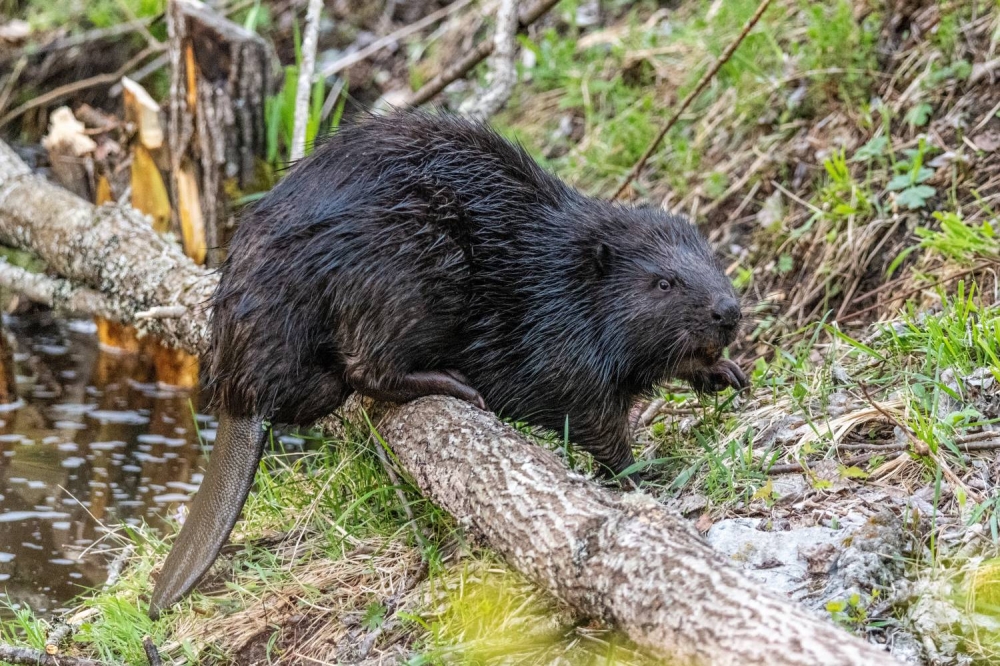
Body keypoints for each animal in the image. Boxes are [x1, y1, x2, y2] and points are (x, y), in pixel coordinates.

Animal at [146, 111, 744, 616]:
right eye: (664, 282)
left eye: (712, 259)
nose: (729, 311)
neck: (561, 270)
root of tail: (240, 401)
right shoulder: (556, 332)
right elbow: (589, 410)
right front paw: (641, 469)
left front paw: (724, 373)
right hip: (413, 265)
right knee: (365, 369)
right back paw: (457, 386)